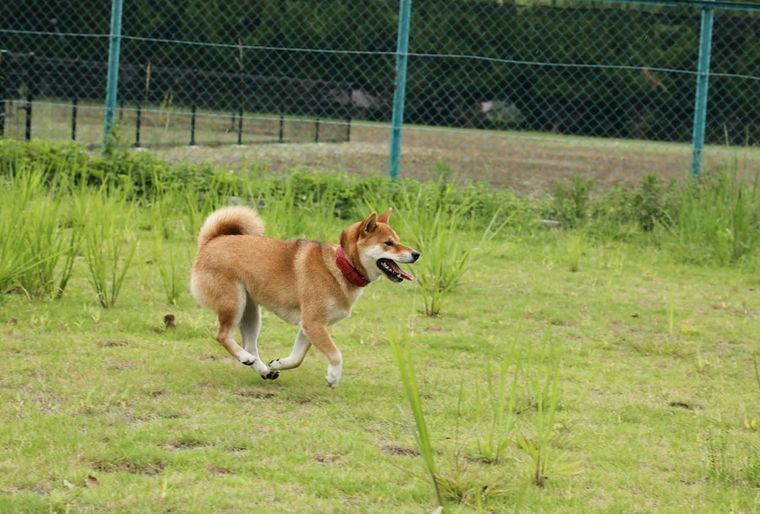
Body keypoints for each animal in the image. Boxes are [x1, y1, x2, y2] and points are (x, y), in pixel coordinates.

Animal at [188, 206, 418, 386]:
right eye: (389, 243)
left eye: (398, 240)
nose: (417, 254)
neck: (340, 266)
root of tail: (211, 241)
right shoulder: (313, 323)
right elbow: (336, 354)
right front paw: (333, 377)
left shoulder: (309, 326)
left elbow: (297, 358)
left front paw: (279, 363)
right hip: (234, 303)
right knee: (223, 336)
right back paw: (245, 358)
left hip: (250, 310)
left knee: (250, 345)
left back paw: (262, 369)